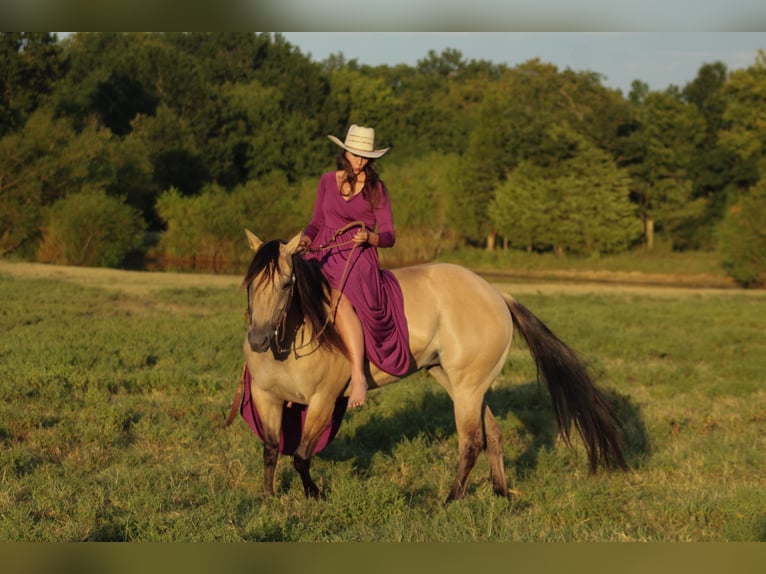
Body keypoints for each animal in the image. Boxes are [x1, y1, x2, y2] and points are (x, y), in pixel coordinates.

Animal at [239, 229, 626, 503]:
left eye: (286, 284)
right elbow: (271, 449)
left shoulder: (323, 401)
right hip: (462, 384)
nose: (257, 340)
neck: (294, 334)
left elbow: (301, 455)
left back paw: (450, 499)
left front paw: (314, 495)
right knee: (492, 434)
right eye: (250, 284)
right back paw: (501, 494)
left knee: (471, 441)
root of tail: (495, 293)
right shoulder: (266, 398)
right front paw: (268, 497)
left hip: (467, 388)